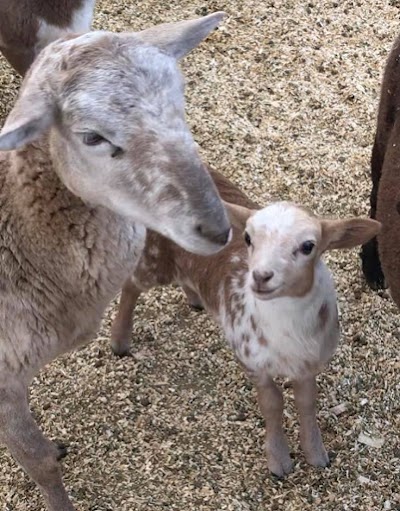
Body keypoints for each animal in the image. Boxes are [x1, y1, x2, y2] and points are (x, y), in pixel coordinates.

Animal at [111, 171, 380, 476]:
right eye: (248, 238)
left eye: (308, 246)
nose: (261, 276)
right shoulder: (252, 359)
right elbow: (272, 403)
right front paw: (279, 462)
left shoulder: (308, 363)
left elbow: (306, 402)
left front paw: (316, 454)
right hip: (155, 257)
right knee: (131, 285)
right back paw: (119, 341)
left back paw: (196, 298)